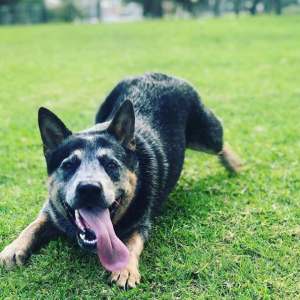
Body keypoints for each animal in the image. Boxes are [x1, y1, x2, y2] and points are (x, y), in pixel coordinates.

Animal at [0, 72, 240, 288]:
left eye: (111, 164)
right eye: (68, 165)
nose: (89, 189)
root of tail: (158, 73)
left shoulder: (141, 223)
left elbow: (131, 242)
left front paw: (125, 269)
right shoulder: (52, 211)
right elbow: (34, 225)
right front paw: (14, 248)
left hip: (207, 135)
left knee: (220, 142)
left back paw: (234, 163)